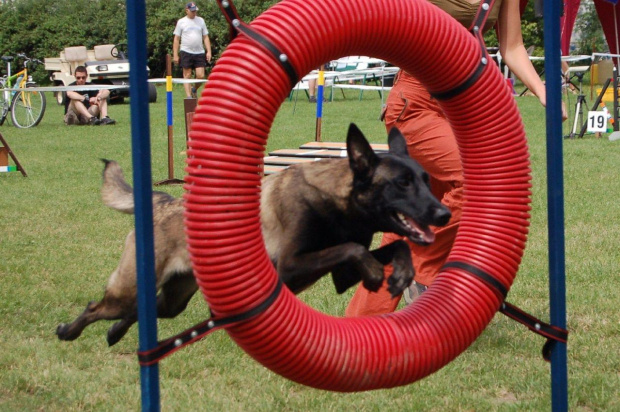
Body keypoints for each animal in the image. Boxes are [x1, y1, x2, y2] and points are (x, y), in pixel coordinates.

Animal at [55, 124, 448, 346]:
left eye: (425, 180)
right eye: (402, 183)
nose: (444, 214)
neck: (337, 200)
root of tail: (165, 202)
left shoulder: (341, 275)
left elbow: (395, 246)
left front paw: (401, 275)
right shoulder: (292, 263)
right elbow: (352, 248)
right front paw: (377, 273)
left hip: (174, 300)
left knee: (145, 311)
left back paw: (115, 333)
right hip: (130, 286)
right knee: (99, 307)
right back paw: (68, 331)